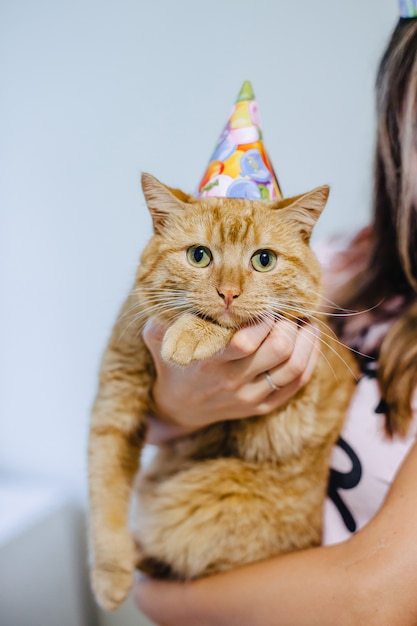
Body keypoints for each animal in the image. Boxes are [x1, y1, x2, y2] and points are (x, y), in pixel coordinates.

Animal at [87, 173, 354, 608]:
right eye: (199, 256)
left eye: (264, 260)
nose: (228, 293)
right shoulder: (116, 400)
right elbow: (105, 494)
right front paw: (111, 573)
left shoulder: (301, 393)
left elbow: (242, 321)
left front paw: (192, 333)